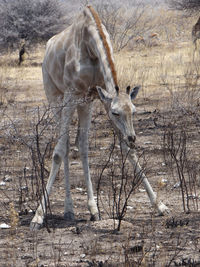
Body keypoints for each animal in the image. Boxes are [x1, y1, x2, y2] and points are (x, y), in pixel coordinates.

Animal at [30, 7, 169, 231]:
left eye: (134, 110)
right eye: (115, 113)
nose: (134, 138)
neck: (90, 45)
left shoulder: (100, 96)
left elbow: (126, 149)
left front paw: (160, 206)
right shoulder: (71, 94)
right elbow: (58, 152)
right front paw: (37, 217)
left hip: (85, 103)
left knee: (81, 144)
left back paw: (92, 210)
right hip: (55, 97)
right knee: (65, 146)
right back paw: (68, 209)